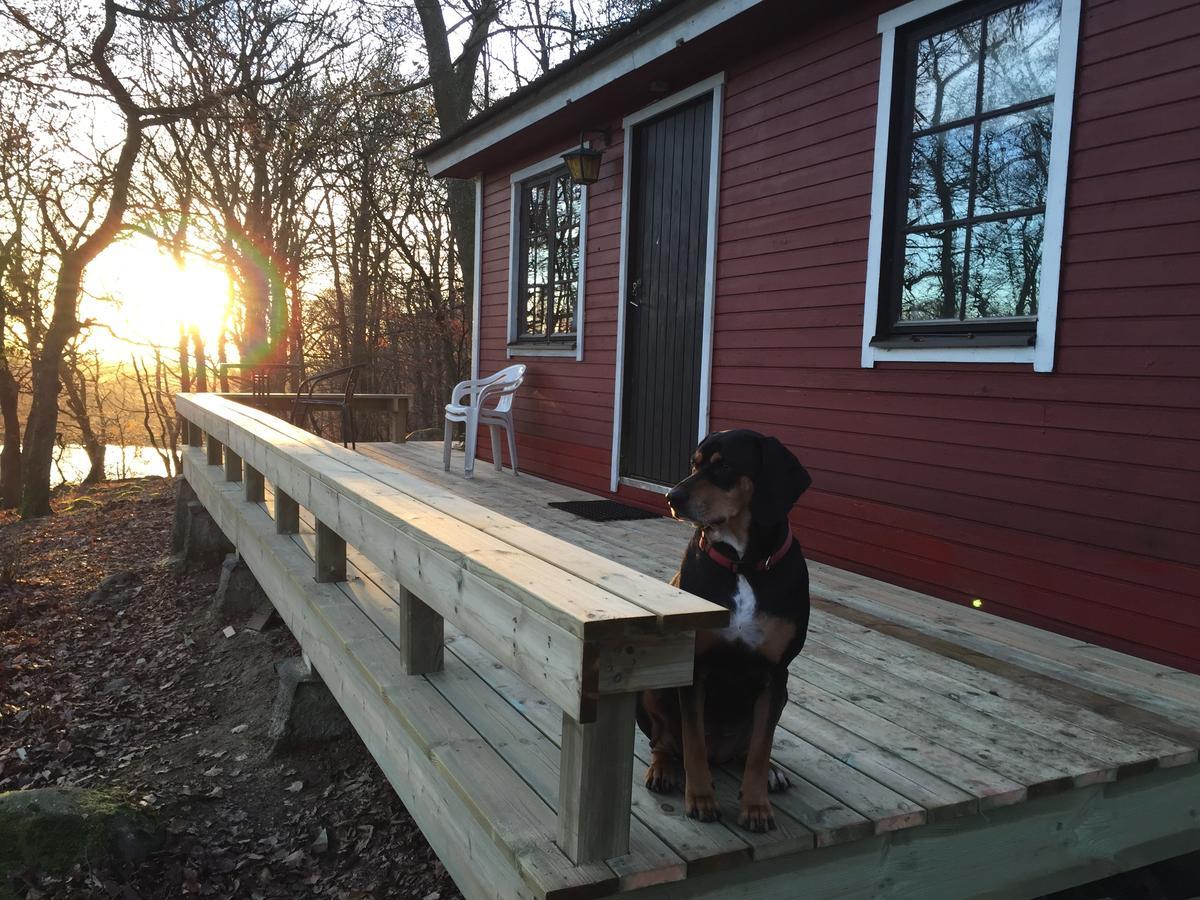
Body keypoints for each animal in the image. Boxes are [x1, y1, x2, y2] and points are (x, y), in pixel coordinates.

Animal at [633, 434, 811, 835]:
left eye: (724, 465)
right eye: (694, 464)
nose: (672, 497)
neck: (743, 564)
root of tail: (723, 754)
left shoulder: (775, 674)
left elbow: (761, 748)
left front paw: (756, 807)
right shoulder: (695, 668)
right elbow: (693, 739)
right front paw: (700, 799)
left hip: (784, 695)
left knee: (751, 747)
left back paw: (772, 773)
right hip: (653, 690)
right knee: (664, 740)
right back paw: (663, 769)